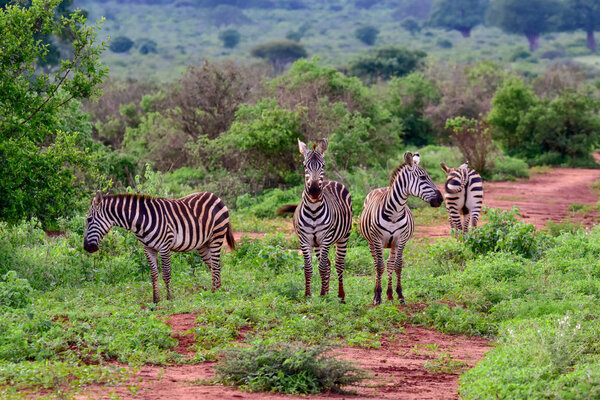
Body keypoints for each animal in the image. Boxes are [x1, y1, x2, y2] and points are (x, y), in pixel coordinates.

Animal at [84, 191, 234, 304]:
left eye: (89, 220)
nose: (87, 248)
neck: (142, 220)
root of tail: (214, 195)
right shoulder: (148, 249)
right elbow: (154, 274)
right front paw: (156, 299)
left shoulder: (164, 246)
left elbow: (166, 274)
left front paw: (169, 298)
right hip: (203, 244)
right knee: (215, 265)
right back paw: (217, 289)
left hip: (217, 236)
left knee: (215, 265)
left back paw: (214, 292)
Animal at [276, 139, 352, 302]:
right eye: (305, 166)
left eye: (323, 165)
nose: (314, 191)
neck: (313, 210)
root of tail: (332, 181)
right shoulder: (304, 240)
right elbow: (308, 268)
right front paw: (308, 294)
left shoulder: (326, 239)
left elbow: (322, 267)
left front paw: (322, 295)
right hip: (317, 244)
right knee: (328, 264)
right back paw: (328, 292)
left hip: (343, 237)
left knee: (339, 264)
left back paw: (341, 296)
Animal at [358, 152, 442, 304]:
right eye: (423, 177)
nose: (440, 200)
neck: (395, 212)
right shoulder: (378, 240)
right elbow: (380, 266)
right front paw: (378, 296)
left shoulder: (400, 240)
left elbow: (398, 265)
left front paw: (400, 294)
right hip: (370, 242)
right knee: (376, 263)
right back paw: (376, 294)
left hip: (392, 244)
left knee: (390, 263)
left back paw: (390, 294)